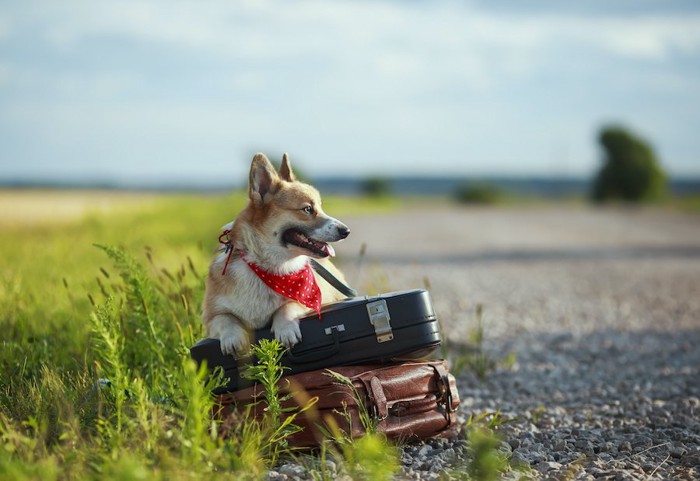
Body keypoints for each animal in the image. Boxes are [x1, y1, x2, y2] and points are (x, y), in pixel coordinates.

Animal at [204, 152, 352, 354]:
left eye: (321, 207)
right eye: (307, 209)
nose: (346, 231)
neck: (266, 266)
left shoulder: (306, 301)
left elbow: (287, 306)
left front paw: (286, 330)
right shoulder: (211, 316)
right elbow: (226, 319)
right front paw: (232, 339)